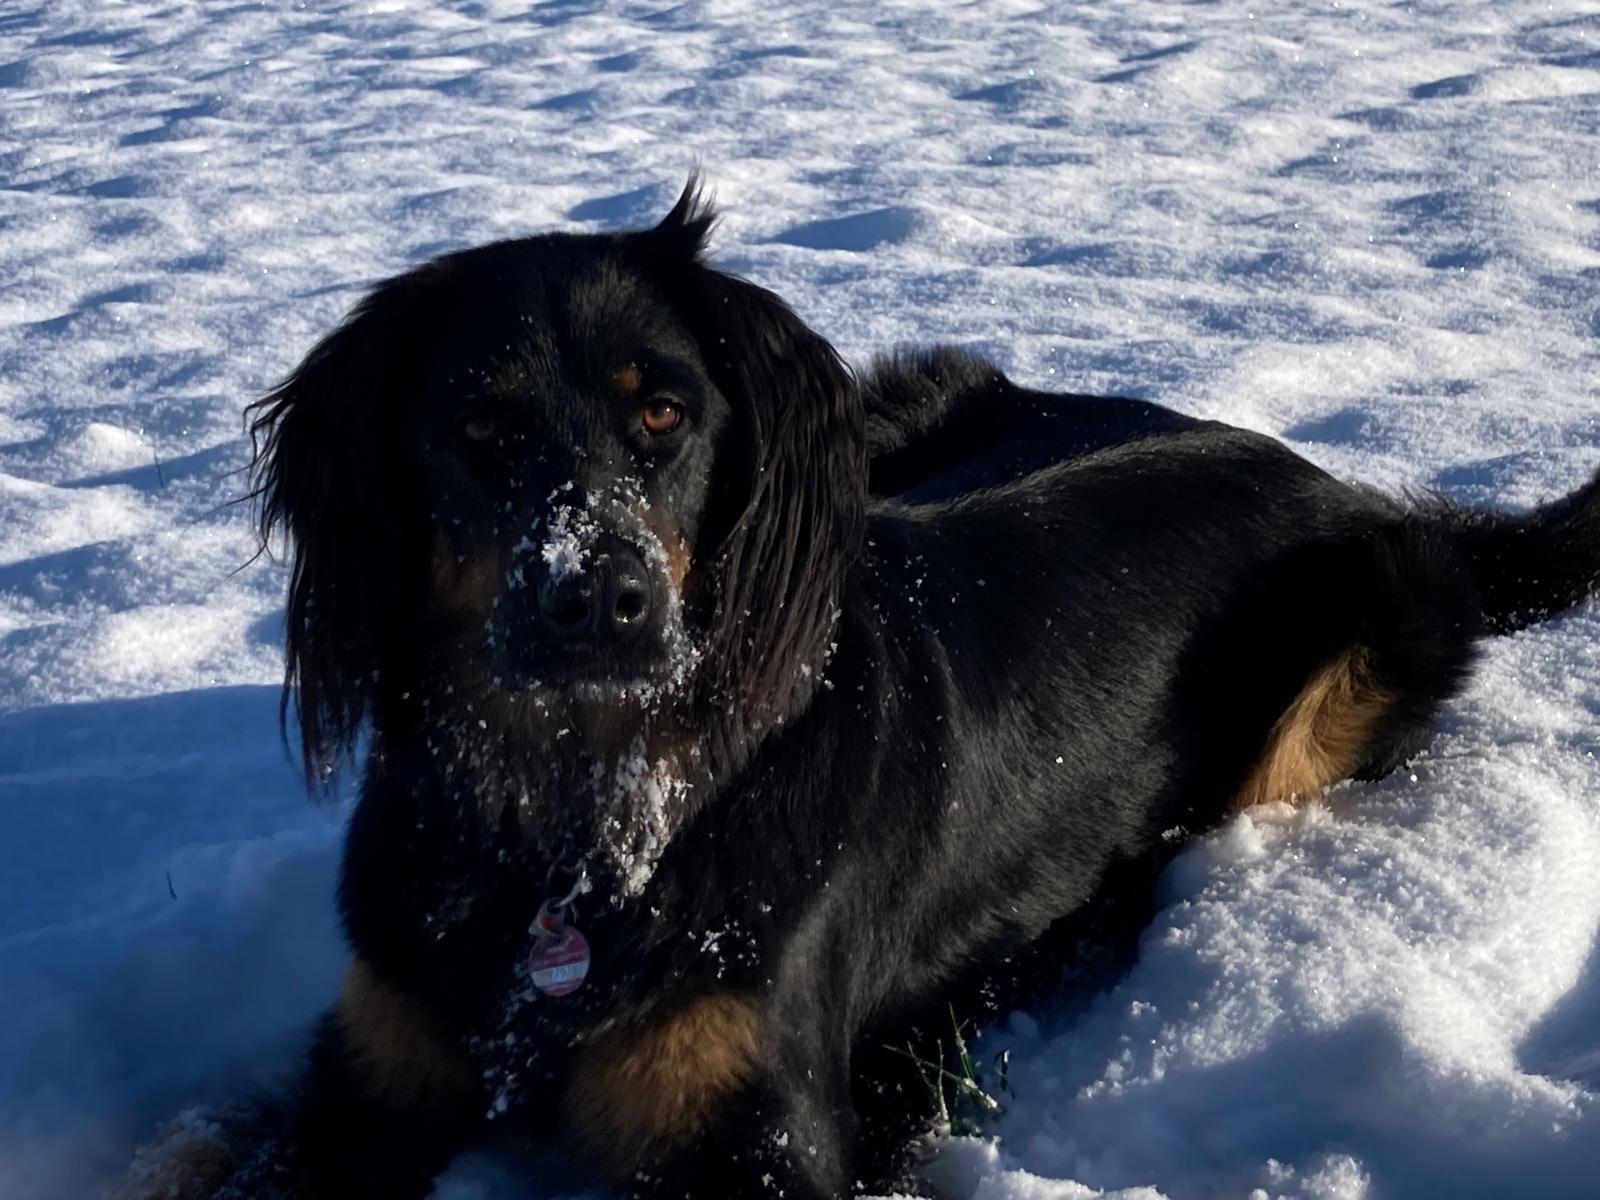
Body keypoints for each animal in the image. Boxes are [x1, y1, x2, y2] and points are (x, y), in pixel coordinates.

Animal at [117, 180, 1600, 1199]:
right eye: (478, 427)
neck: (587, 812)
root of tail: (1332, 478)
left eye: (664, 414)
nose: (601, 601)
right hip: (911, 404)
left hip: (1356, 640)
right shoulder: (376, 1068)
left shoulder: (753, 1129)